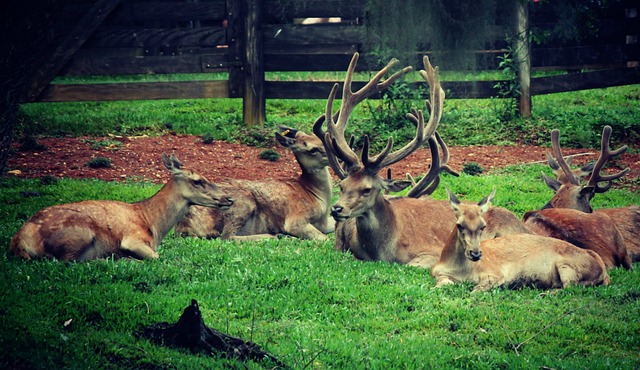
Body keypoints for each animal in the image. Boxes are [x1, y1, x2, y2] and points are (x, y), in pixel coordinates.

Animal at [9, 155, 235, 262]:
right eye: (197, 181)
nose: (229, 198)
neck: (153, 225)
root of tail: (20, 242)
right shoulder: (133, 239)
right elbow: (157, 257)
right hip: (78, 234)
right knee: (68, 261)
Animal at [175, 124, 336, 240]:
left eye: (321, 139)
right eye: (312, 149)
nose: (336, 155)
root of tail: (183, 226)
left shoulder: (324, 223)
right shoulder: (295, 220)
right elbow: (324, 239)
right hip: (242, 203)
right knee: (227, 237)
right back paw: (276, 235)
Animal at [430, 188, 608, 292]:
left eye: (483, 225)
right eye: (459, 225)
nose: (475, 254)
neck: (462, 270)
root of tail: (604, 271)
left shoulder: (495, 274)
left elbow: (476, 290)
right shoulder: (438, 274)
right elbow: (439, 285)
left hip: (568, 266)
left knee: (569, 287)